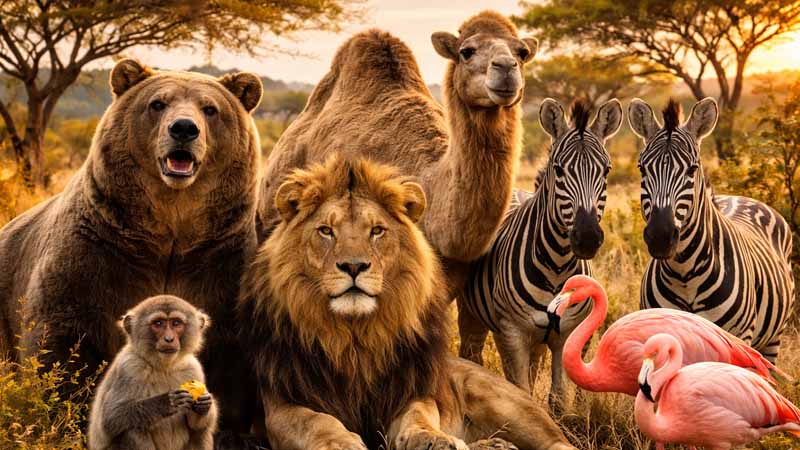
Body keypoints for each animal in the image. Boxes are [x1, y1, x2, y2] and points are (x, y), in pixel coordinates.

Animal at [0, 59, 262, 435]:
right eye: (158, 103)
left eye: (210, 109)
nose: (184, 128)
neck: (170, 231)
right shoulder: (98, 255)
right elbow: (64, 343)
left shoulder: (217, 261)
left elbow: (228, 353)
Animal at [239, 156, 576, 450]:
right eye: (326, 231)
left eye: (377, 231)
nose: (353, 266)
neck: (354, 339)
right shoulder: (282, 405)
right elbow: (318, 421)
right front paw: (342, 443)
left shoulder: (413, 393)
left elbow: (418, 417)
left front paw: (434, 440)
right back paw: (494, 446)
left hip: (505, 402)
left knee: (559, 443)